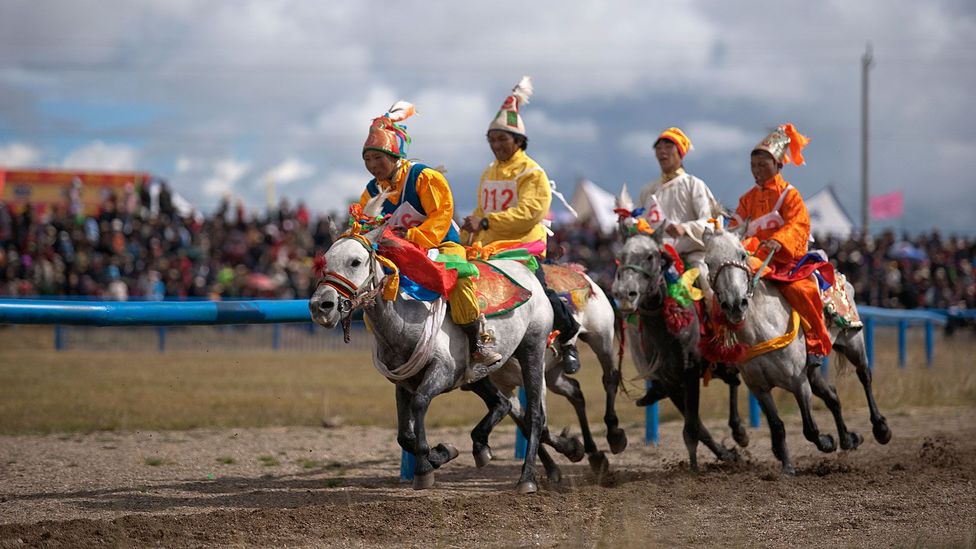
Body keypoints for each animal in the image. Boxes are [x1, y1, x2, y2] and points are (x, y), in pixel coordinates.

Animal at [308, 227, 553, 494]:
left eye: (355, 261)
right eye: (324, 262)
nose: (321, 306)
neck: (405, 323)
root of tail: (529, 274)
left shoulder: (443, 371)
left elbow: (420, 402)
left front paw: (425, 467)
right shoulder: (403, 382)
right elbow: (404, 435)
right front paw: (440, 453)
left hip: (533, 348)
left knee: (535, 415)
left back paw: (527, 478)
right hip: (477, 376)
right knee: (502, 403)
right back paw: (482, 447)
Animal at [611, 229, 748, 471]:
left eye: (650, 256)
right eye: (621, 256)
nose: (625, 294)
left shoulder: (690, 373)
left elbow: (692, 427)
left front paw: (694, 469)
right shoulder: (670, 381)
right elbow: (697, 426)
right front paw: (726, 454)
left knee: (734, 379)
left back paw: (739, 430)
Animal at [703, 228, 891, 475]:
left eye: (742, 254)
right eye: (708, 262)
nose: (735, 304)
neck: (761, 333)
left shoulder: (798, 382)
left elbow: (810, 429)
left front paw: (827, 442)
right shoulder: (759, 388)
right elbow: (777, 425)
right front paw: (787, 466)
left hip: (853, 341)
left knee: (864, 376)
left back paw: (880, 429)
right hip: (813, 370)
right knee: (832, 396)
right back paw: (848, 439)